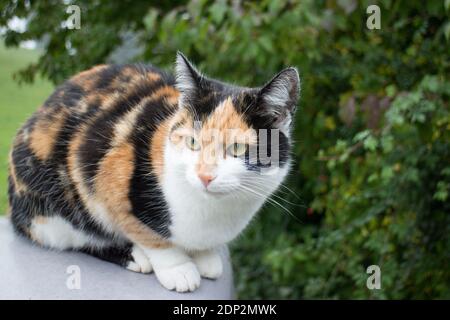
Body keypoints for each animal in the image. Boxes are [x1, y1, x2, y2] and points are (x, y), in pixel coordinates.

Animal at [7, 52, 300, 292]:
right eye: (192, 142)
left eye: (238, 148)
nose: (205, 176)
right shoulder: (107, 179)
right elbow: (147, 234)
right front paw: (178, 268)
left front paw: (205, 257)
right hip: (49, 209)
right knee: (78, 236)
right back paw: (135, 257)